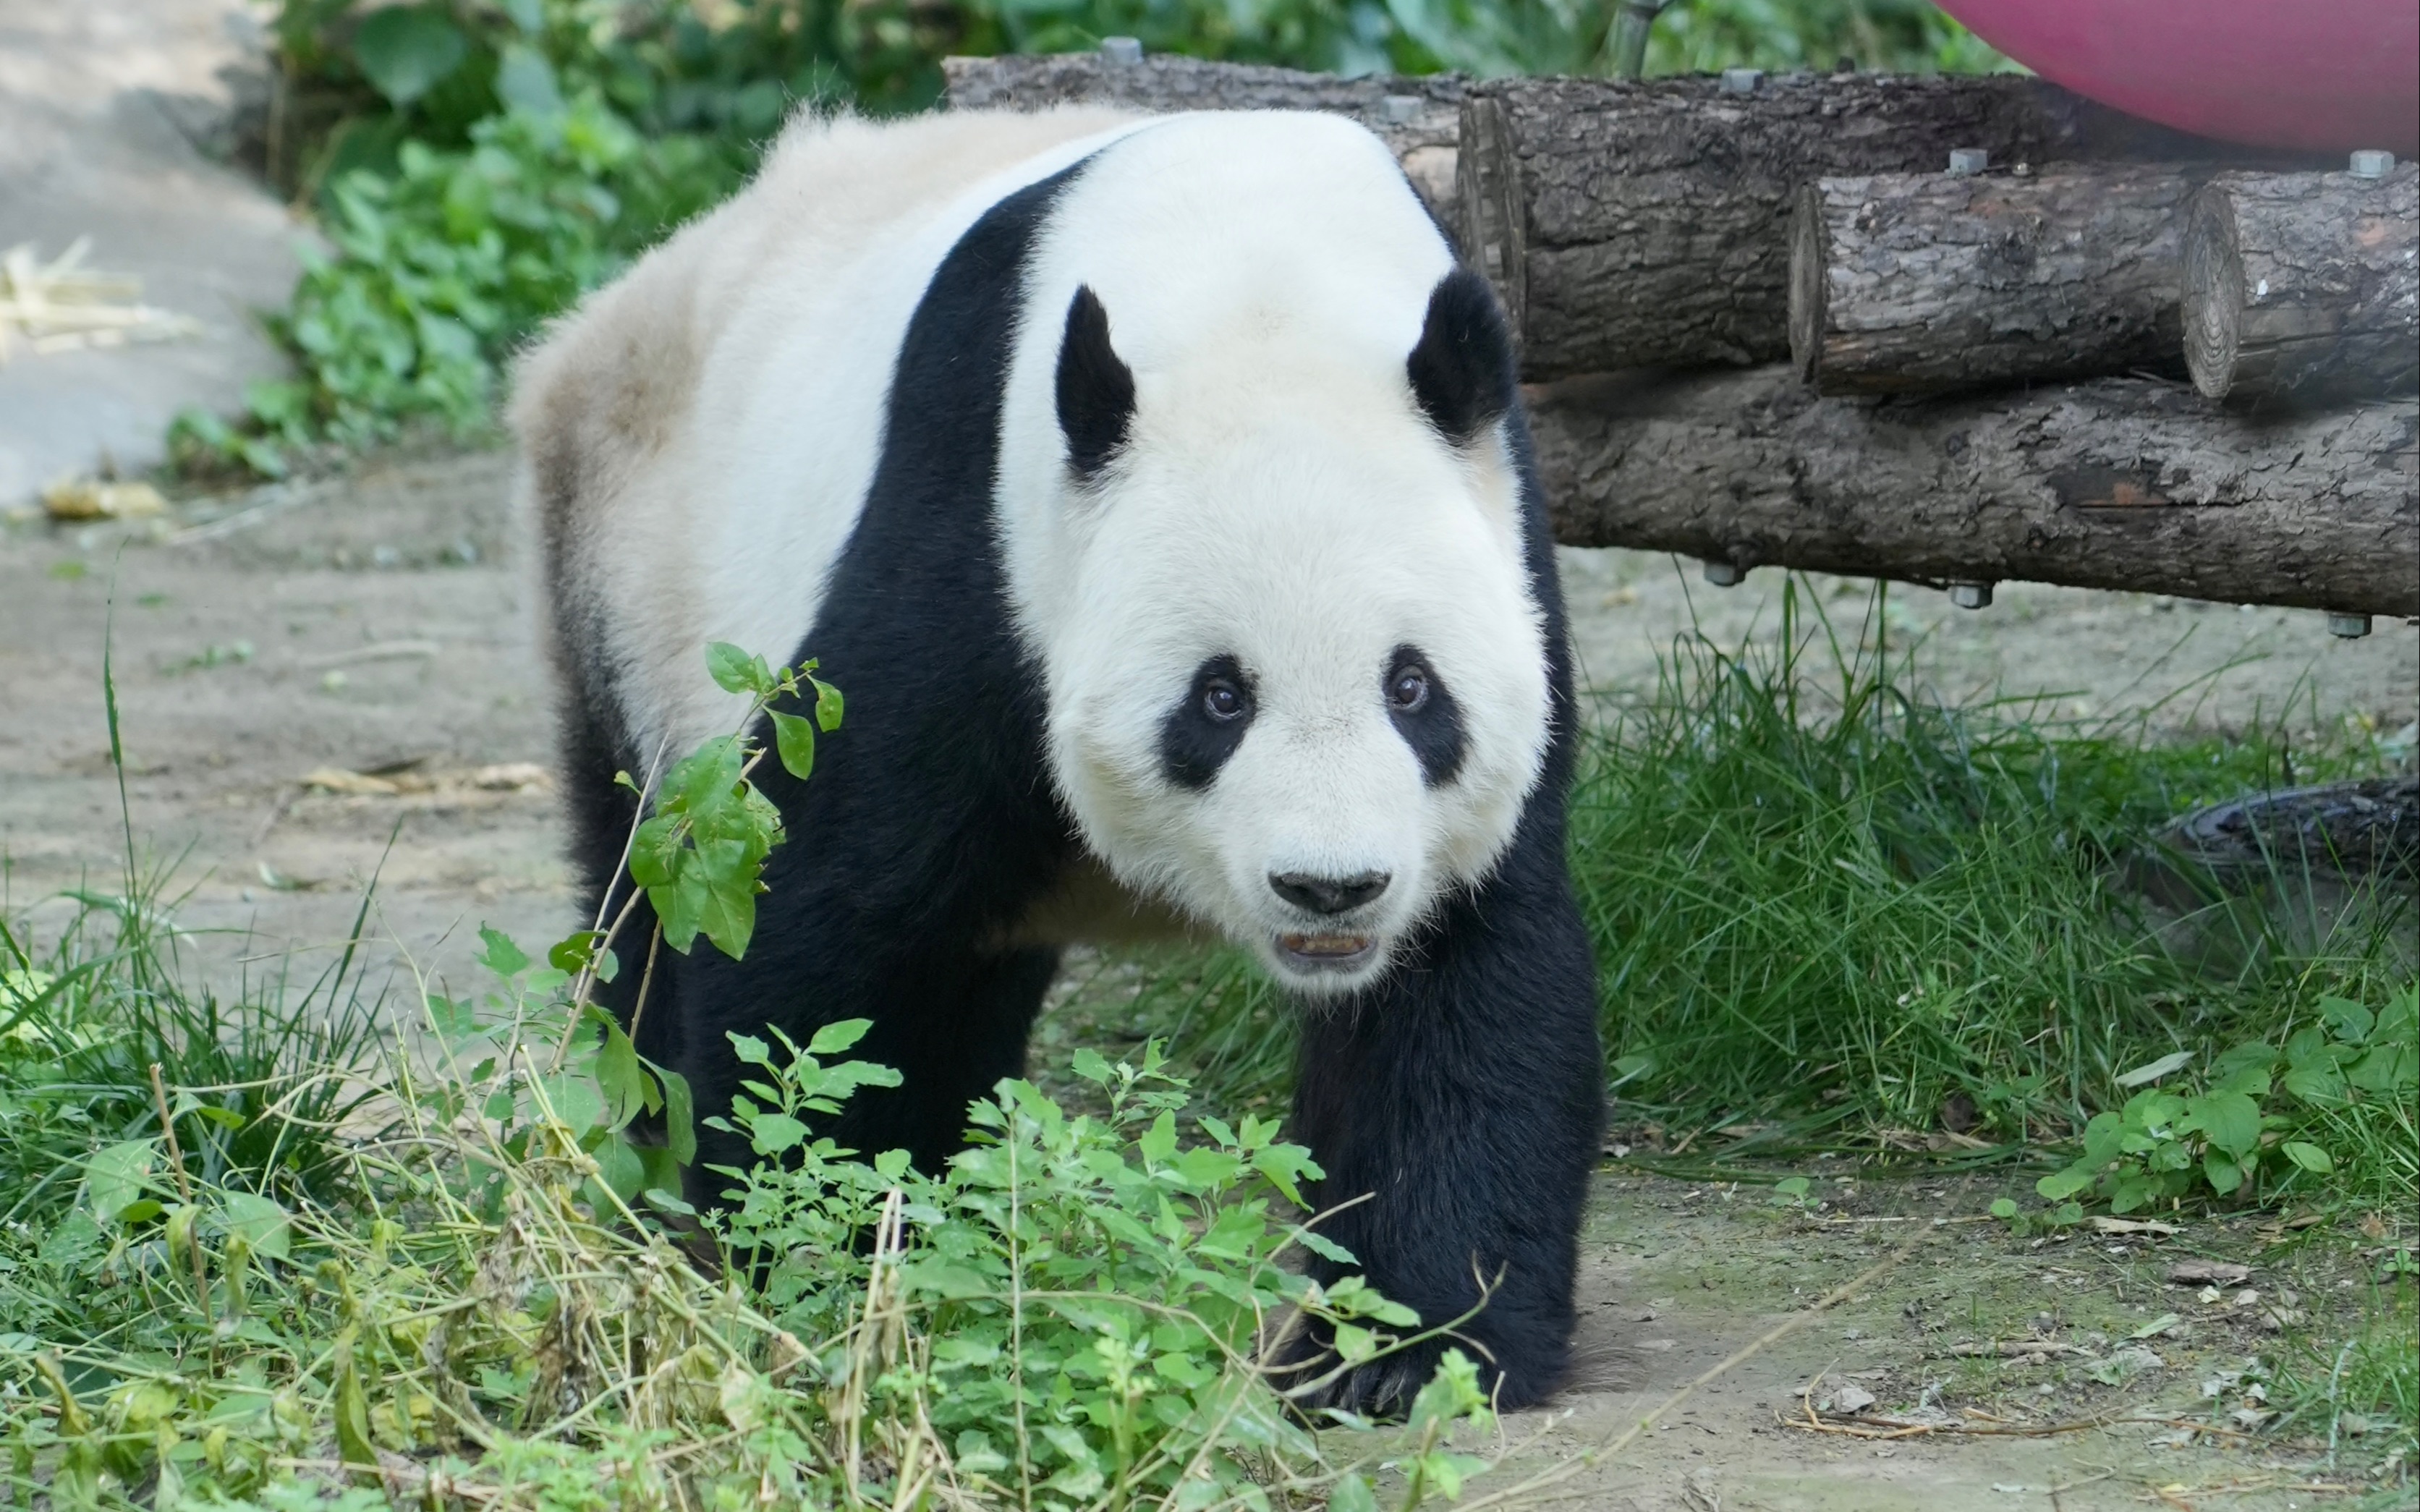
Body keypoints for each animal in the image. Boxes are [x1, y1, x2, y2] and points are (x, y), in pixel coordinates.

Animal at [515, 103, 1607, 1403]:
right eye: (1220, 697)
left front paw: (1406, 1353)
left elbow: (1469, 992)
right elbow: (824, 938)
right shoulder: (976, 546)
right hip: (633, 588)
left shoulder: (1507, 567)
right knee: (653, 905)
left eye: (1411, 688)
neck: (1259, 281)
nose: (1330, 888)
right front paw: (810, 1270)